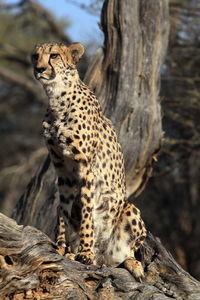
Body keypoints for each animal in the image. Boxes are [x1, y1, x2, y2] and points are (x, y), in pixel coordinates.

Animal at [31, 41, 147, 280]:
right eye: (35, 56)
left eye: (53, 55)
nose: (39, 69)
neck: (57, 98)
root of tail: (104, 255)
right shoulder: (62, 170)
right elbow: (63, 212)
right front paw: (62, 248)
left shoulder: (85, 168)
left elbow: (87, 213)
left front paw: (84, 253)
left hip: (129, 208)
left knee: (125, 254)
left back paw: (129, 263)